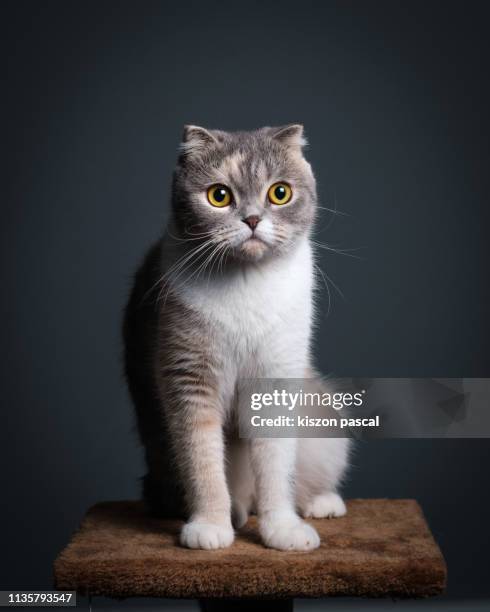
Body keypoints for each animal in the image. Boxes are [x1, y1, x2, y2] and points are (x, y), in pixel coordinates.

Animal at [124, 124, 350, 548]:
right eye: (219, 195)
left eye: (280, 193)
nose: (252, 220)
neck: (246, 281)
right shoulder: (190, 377)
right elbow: (203, 463)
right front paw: (211, 525)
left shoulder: (276, 378)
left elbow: (276, 468)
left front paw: (283, 529)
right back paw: (236, 511)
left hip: (324, 427)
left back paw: (321, 503)